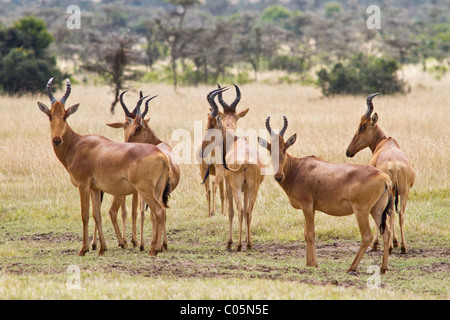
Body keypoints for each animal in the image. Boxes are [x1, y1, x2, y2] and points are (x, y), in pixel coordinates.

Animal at [37, 79, 170, 256]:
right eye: (50, 115)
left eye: (65, 115)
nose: (57, 139)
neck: (78, 144)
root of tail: (161, 155)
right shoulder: (95, 188)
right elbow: (97, 215)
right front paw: (102, 248)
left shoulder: (83, 185)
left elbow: (85, 214)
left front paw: (83, 249)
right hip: (157, 189)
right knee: (160, 212)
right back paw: (155, 247)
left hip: (145, 190)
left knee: (159, 211)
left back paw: (153, 250)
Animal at [203, 86, 264, 251]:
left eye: (211, 127)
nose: (203, 148)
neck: (235, 141)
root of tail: (246, 161)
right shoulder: (246, 189)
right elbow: (246, 211)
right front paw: (247, 240)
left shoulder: (229, 185)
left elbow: (230, 212)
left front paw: (229, 242)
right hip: (253, 188)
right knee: (248, 211)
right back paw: (248, 244)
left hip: (236, 187)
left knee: (240, 210)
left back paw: (237, 245)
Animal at [258, 114, 392, 272]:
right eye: (270, 149)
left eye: (284, 148)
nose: (279, 176)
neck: (298, 167)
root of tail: (384, 177)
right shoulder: (311, 208)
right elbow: (306, 233)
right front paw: (308, 263)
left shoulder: (307, 205)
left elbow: (310, 234)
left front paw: (314, 264)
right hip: (377, 209)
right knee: (386, 232)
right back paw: (383, 268)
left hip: (361, 210)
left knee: (367, 236)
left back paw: (351, 268)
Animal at [346, 94, 416, 254]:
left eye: (362, 126)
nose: (348, 151)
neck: (386, 142)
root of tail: (394, 165)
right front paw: (395, 242)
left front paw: (376, 244)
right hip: (404, 191)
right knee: (400, 214)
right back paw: (402, 247)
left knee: (387, 215)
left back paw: (386, 247)